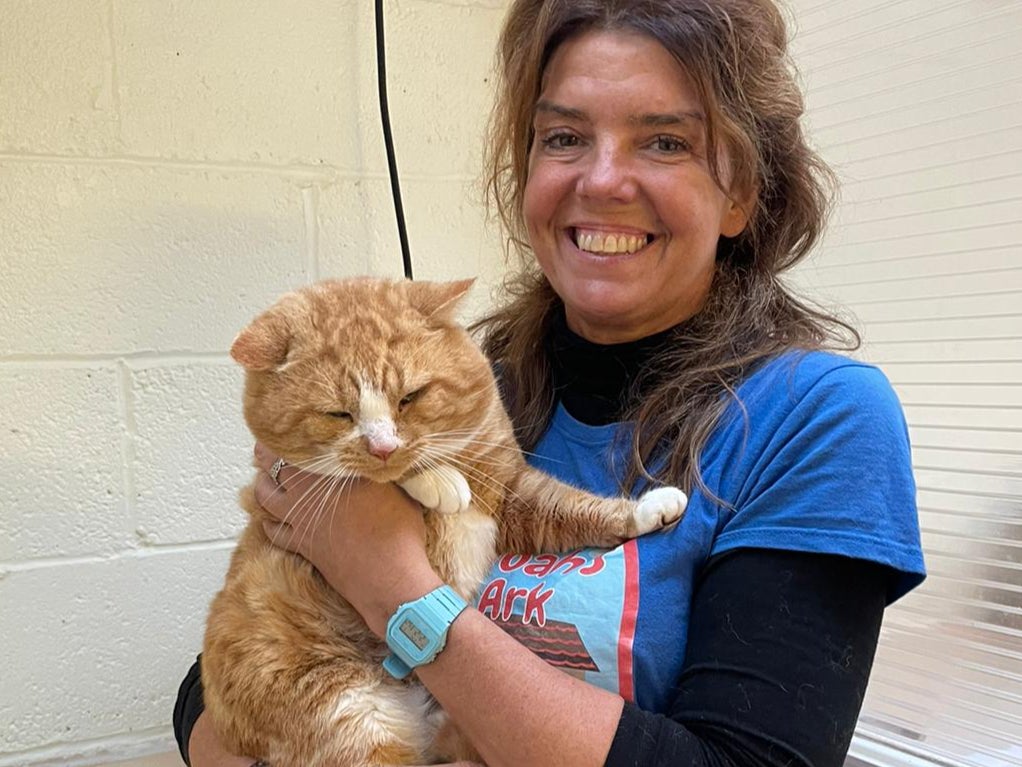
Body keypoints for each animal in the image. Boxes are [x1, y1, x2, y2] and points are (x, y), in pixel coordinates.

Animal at [201, 278, 686, 767]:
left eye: (409, 397)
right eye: (338, 414)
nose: (383, 448)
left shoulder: (511, 491)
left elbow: (571, 505)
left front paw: (648, 508)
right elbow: (374, 476)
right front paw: (436, 481)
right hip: (351, 722)